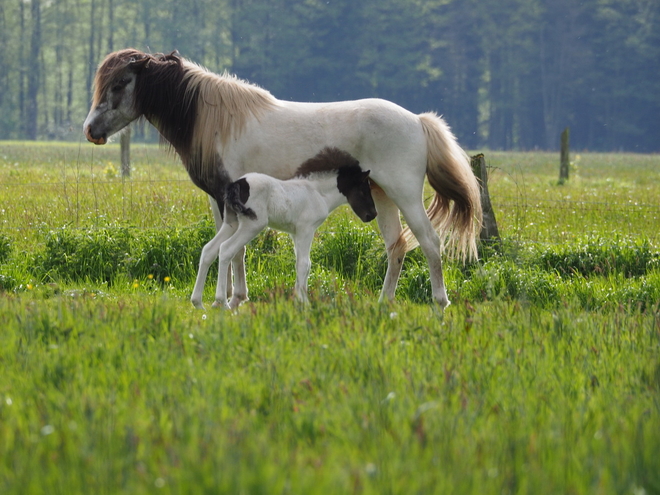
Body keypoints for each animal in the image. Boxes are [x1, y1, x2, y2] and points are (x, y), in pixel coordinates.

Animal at [191, 147, 376, 310]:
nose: (372, 214)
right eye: (364, 189)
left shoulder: (296, 233)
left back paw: (198, 303)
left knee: (209, 250)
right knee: (226, 249)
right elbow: (304, 264)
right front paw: (304, 303)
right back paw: (222, 302)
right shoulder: (306, 230)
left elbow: (301, 263)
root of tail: (236, 184)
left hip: (231, 223)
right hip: (252, 225)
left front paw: (298, 299)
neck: (317, 193)